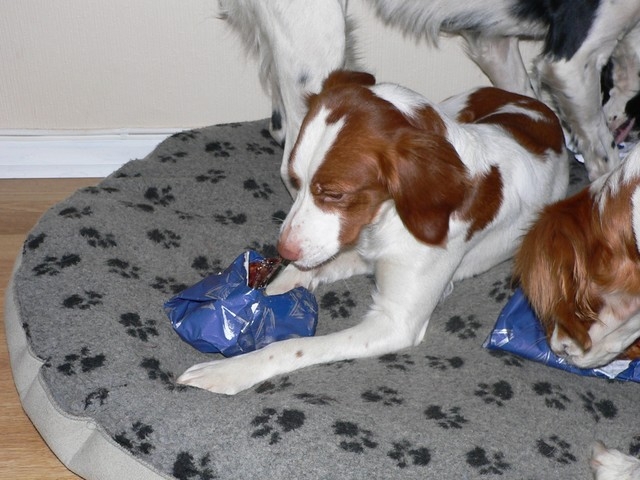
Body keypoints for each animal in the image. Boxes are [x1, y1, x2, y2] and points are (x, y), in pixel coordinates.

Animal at [177, 70, 569, 395]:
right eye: (294, 180)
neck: (389, 215)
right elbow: (298, 275)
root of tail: (528, 99)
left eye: (335, 194)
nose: (283, 249)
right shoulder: (359, 246)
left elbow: (293, 346)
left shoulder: (396, 320)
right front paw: (250, 304)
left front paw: (229, 370)